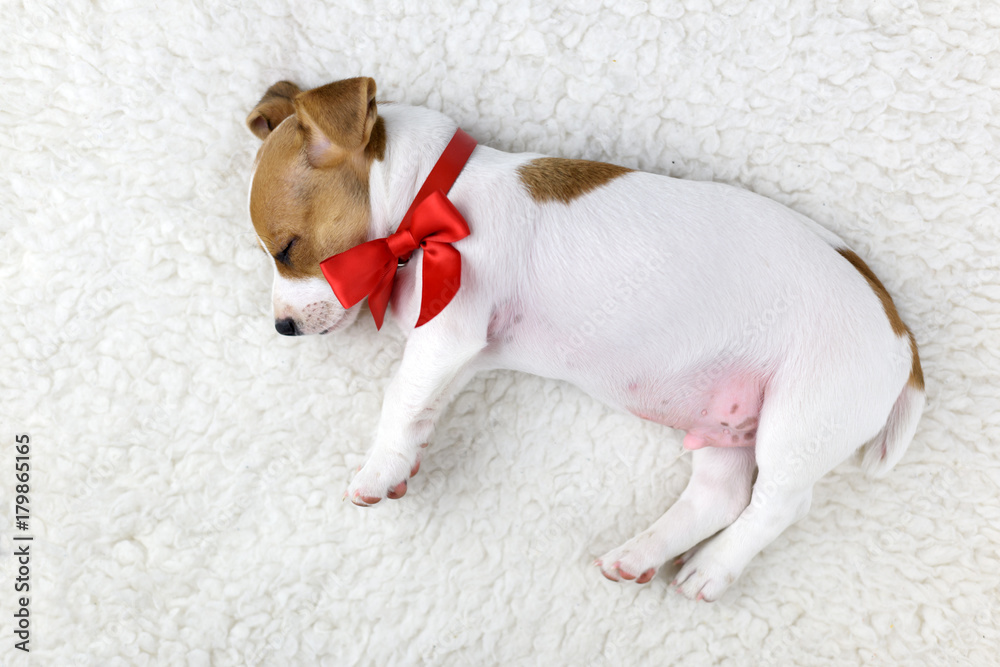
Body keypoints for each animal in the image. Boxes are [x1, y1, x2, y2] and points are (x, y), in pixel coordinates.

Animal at [240, 77, 920, 600]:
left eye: (288, 250)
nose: (281, 327)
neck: (434, 201)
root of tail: (900, 332)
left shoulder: (446, 336)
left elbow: (399, 401)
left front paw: (377, 470)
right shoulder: (464, 353)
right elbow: (423, 410)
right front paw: (403, 465)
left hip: (798, 422)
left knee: (777, 505)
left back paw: (713, 568)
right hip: (726, 420)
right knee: (720, 496)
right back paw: (641, 554)